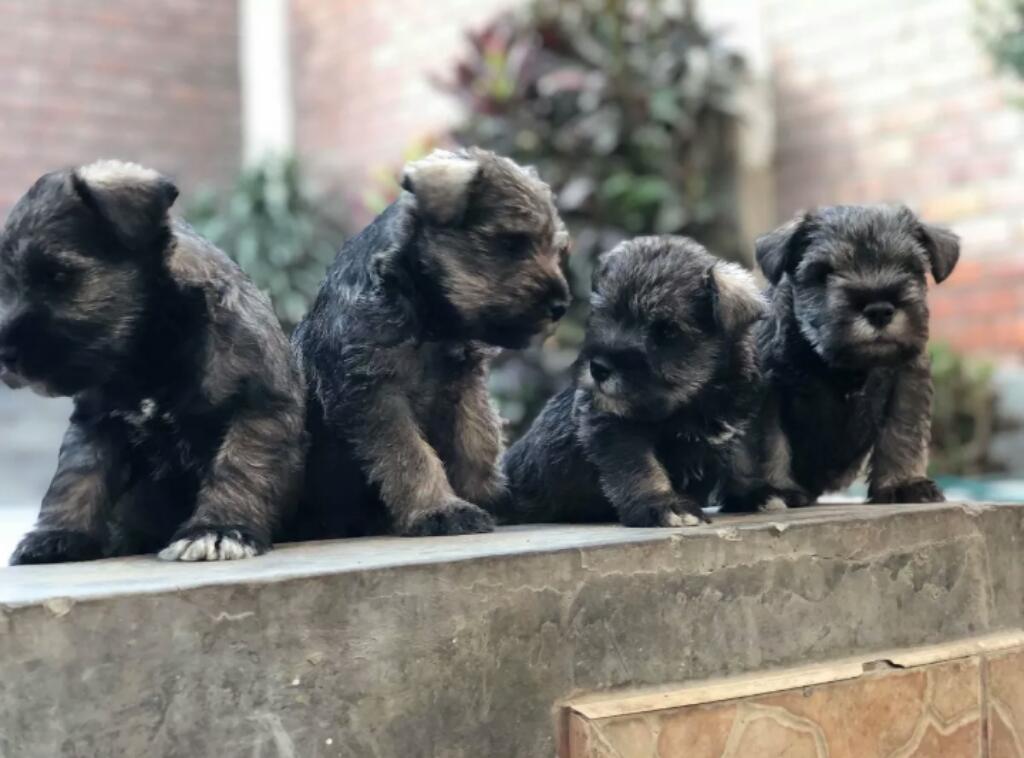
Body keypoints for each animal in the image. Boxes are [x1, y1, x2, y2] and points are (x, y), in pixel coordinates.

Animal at [2, 159, 305, 561]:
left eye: (59, 275)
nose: (5, 354)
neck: (148, 353)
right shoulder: (96, 421)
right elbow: (76, 478)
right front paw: (57, 535)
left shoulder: (258, 408)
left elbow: (238, 469)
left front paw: (218, 530)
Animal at [292, 148, 573, 540]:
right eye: (510, 243)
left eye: (556, 248)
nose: (561, 305)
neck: (428, 321)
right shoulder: (375, 395)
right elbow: (409, 455)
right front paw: (440, 509)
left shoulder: (465, 387)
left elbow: (476, 443)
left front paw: (488, 497)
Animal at [503, 236, 770, 528]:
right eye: (605, 313)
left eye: (667, 330)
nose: (599, 368)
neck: (695, 400)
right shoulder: (615, 427)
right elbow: (641, 468)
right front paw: (663, 505)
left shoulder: (739, 421)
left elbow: (744, 459)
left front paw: (755, 496)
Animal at [720, 203, 958, 512]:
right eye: (824, 273)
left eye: (910, 267)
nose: (879, 310)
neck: (846, 368)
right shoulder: (768, 392)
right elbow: (767, 443)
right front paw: (773, 490)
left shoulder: (907, 381)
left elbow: (902, 432)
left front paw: (904, 484)